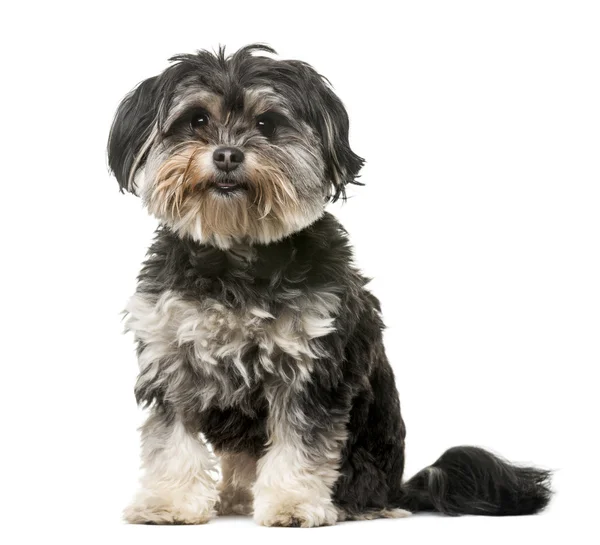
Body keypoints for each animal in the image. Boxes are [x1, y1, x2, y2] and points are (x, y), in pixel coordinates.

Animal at [109, 44, 552, 524]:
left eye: (267, 123)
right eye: (197, 120)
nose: (227, 154)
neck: (238, 253)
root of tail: (397, 487)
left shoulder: (312, 367)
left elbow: (301, 445)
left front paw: (292, 503)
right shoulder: (171, 358)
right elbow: (170, 442)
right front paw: (168, 502)